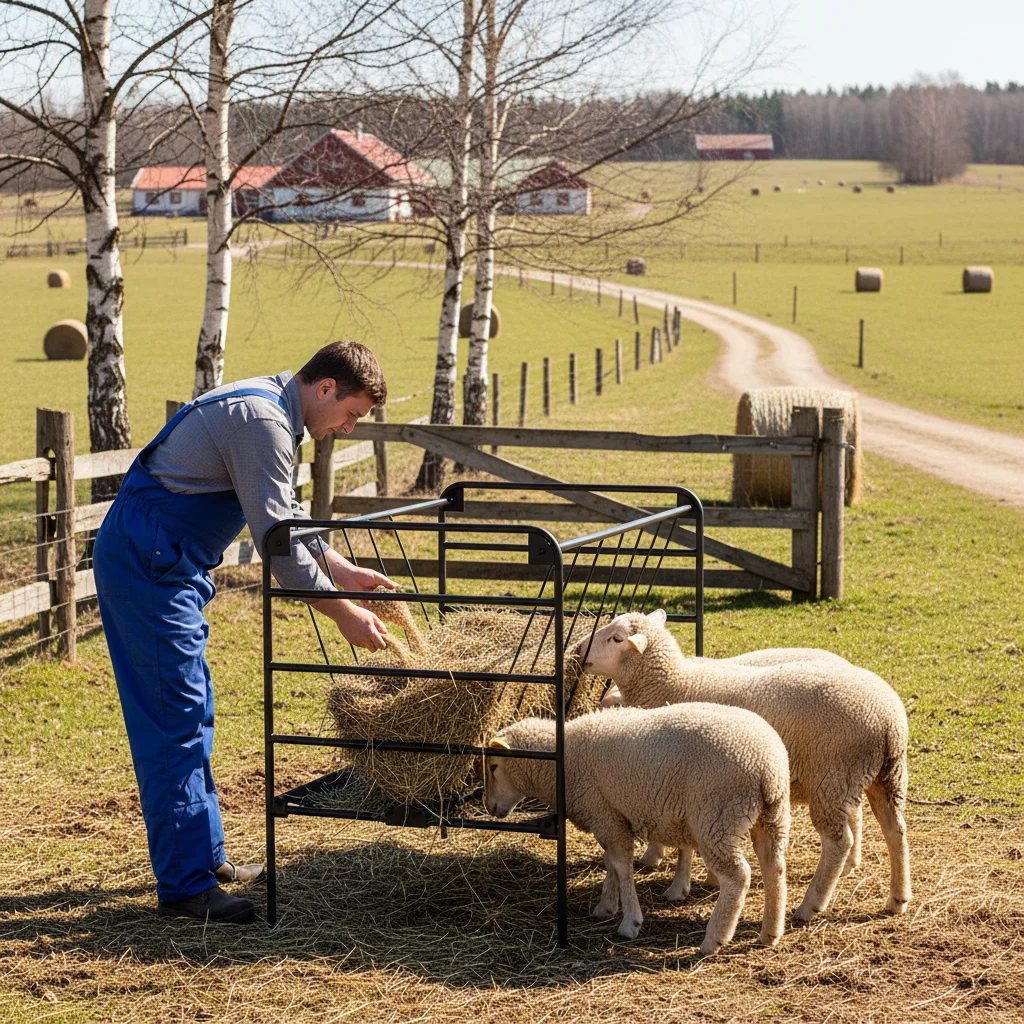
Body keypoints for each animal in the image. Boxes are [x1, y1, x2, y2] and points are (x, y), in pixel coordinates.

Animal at [485, 703, 790, 953]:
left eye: (494, 766)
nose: (489, 807)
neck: (562, 763)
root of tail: (767, 767)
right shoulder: (611, 816)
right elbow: (610, 861)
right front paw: (606, 906)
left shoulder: (604, 813)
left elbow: (621, 866)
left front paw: (630, 922)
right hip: (771, 817)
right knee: (774, 868)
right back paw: (770, 932)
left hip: (717, 817)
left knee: (739, 877)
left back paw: (714, 939)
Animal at [577, 610, 910, 923]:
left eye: (617, 638)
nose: (580, 649)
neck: (672, 682)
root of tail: (889, 719)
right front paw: (698, 876)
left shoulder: (676, 773)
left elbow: (680, 841)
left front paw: (674, 878)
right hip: (882, 776)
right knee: (895, 829)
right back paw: (897, 898)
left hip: (833, 778)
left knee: (839, 841)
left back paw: (810, 905)